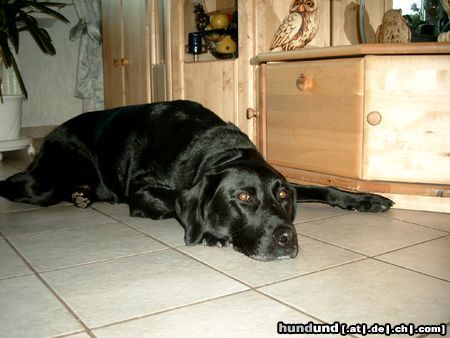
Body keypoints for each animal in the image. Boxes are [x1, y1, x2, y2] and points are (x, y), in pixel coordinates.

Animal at [0, 100, 392, 262]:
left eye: (281, 195)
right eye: (243, 198)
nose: (287, 237)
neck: (218, 149)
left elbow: (321, 187)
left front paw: (365, 198)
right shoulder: (141, 192)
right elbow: (176, 203)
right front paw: (209, 234)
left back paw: (82, 195)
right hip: (45, 183)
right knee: (18, 184)